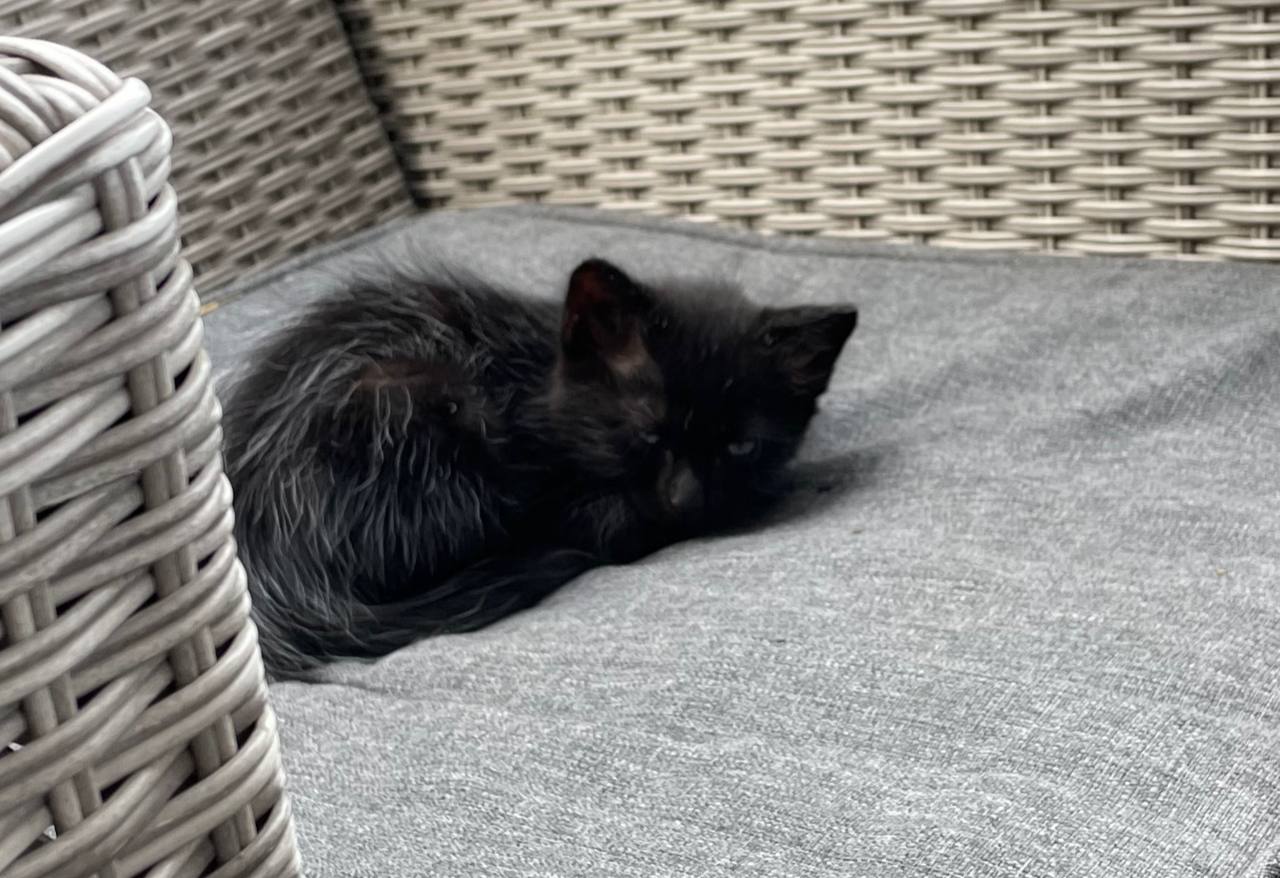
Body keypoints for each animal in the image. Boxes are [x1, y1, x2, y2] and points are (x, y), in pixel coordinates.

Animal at [221, 257, 857, 678]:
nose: (685, 500)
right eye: (648, 432)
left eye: (740, 446)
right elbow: (609, 522)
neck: (540, 383)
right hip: (417, 407)